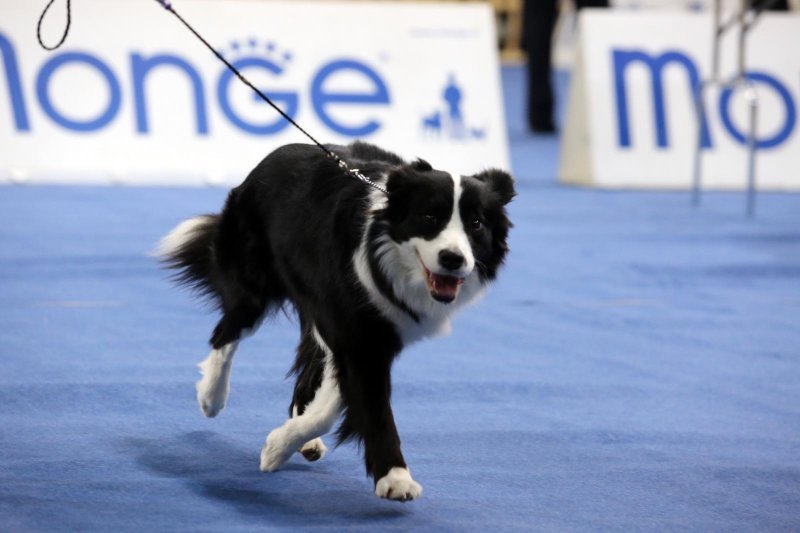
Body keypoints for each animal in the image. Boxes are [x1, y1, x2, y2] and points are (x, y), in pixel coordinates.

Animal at [159, 140, 516, 498]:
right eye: (429, 217)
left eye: (476, 224)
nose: (453, 259)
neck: (387, 254)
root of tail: (281, 151)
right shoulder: (357, 333)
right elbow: (370, 405)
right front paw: (395, 477)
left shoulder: (365, 334)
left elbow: (337, 402)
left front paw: (281, 444)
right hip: (253, 283)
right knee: (227, 332)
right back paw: (211, 397)